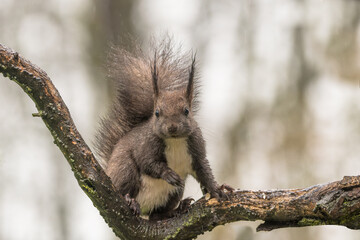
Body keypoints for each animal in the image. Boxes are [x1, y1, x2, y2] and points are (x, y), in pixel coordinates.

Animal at [94, 39, 232, 219]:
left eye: (186, 111)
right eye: (157, 113)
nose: (172, 127)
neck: (175, 141)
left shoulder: (197, 151)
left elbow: (204, 171)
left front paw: (217, 190)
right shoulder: (146, 146)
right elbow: (149, 163)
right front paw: (168, 174)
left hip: (175, 192)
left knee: (156, 216)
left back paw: (176, 209)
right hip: (125, 171)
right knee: (125, 189)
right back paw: (130, 201)